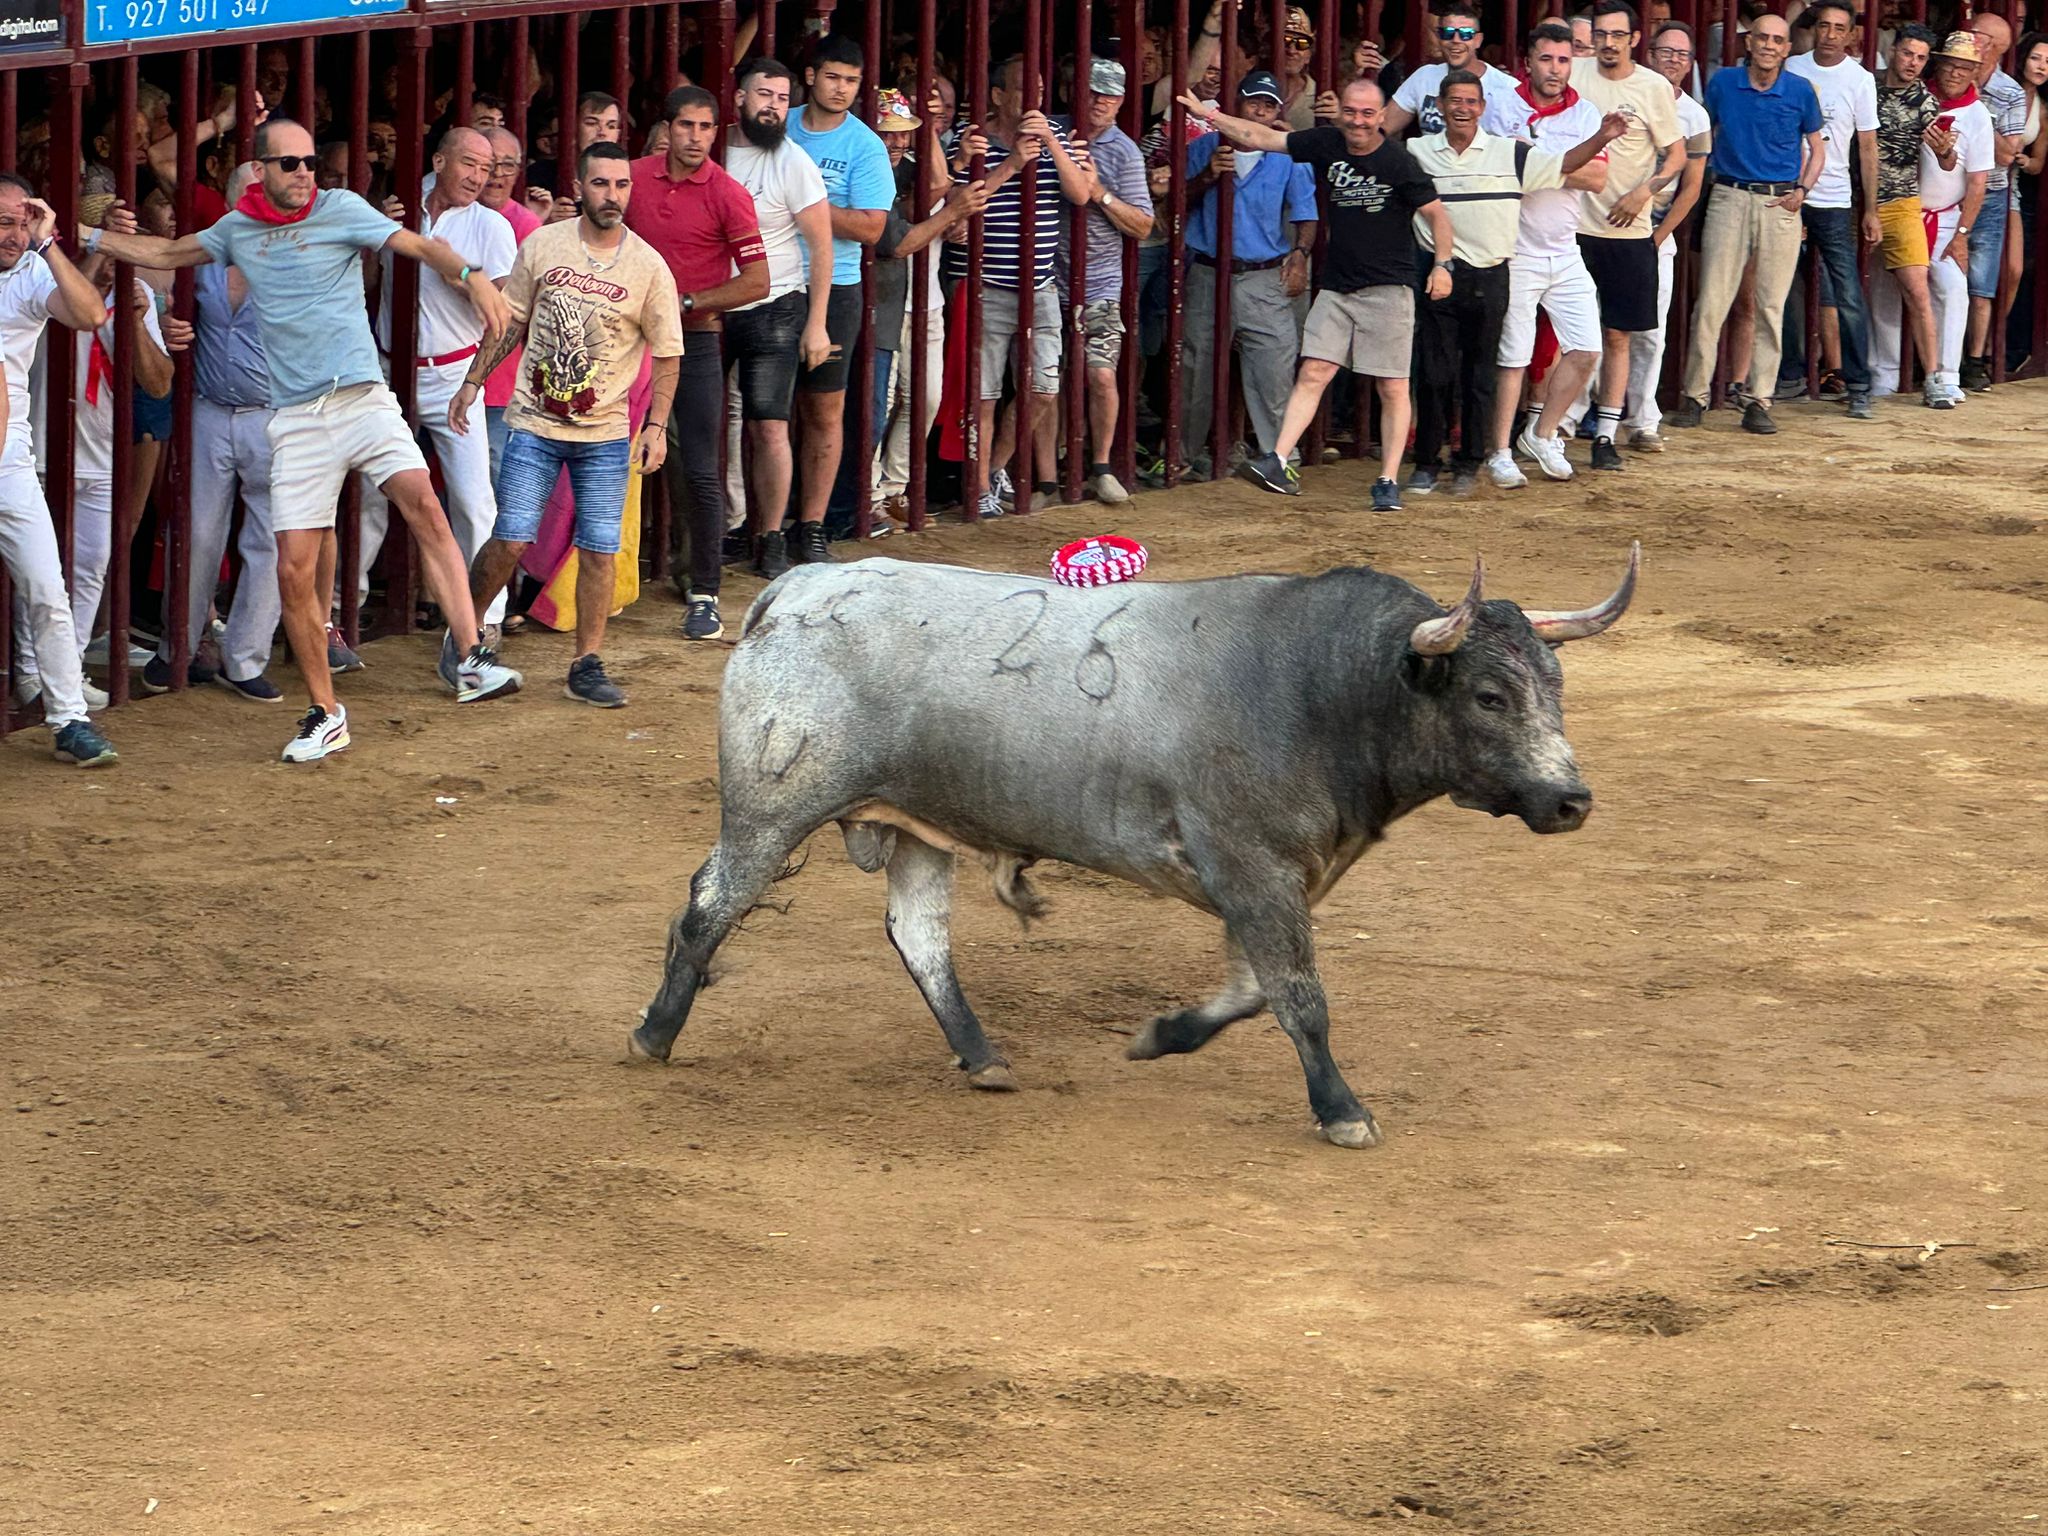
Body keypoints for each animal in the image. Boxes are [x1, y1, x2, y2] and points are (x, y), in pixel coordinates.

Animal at [630, 548, 1638, 1146]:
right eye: (1490, 697)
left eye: (1554, 687)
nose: (1572, 800)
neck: (1320, 688)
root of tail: (795, 587)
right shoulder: (1255, 872)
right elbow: (1299, 998)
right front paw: (1343, 1111)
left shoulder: (1262, 882)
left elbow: (1246, 992)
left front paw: (1162, 1035)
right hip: (770, 809)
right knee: (709, 907)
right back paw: (652, 1034)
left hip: (920, 828)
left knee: (919, 940)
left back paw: (984, 1057)